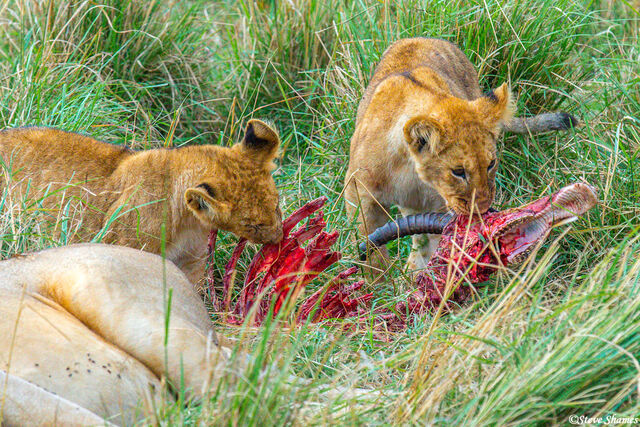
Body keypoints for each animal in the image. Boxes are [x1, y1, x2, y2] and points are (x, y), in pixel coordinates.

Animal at [0, 120, 283, 286]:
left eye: (277, 206)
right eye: (253, 225)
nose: (279, 238)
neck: (188, 222)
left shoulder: (191, 261)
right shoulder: (125, 251)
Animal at [344, 38, 580, 274]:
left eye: (491, 164)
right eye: (458, 172)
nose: (481, 211)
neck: (410, 171)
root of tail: (422, 38)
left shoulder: (437, 208)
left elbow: (434, 248)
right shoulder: (359, 194)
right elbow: (373, 257)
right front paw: (380, 281)